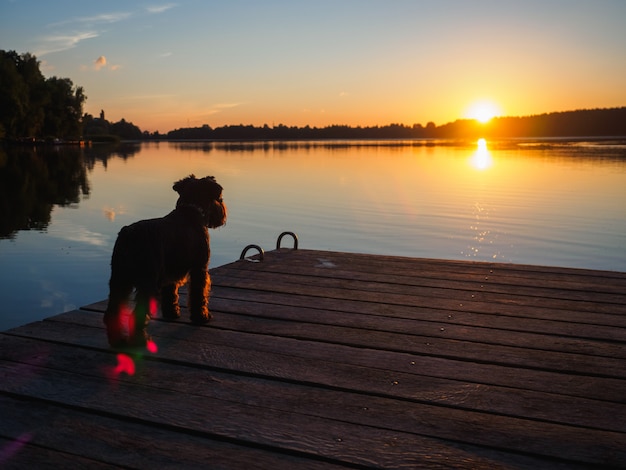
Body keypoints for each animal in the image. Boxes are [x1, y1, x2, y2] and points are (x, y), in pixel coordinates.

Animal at [103, 174, 227, 346]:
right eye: (219, 198)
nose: (223, 213)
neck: (191, 210)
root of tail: (128, 234)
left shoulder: (170, 273)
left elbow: (170, 294)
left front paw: (172, 313)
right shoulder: (200, 269)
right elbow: (199, 294)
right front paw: (201, 316)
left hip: (119, 279)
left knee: (112, 311)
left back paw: (118, 340)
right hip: (146, 282)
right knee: (137, 312)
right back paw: (141, 340)